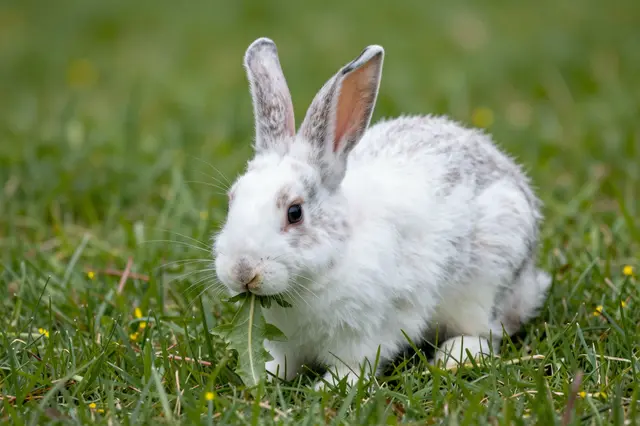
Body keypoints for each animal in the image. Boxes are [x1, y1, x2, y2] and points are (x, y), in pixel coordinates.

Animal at [212, 37, 551, 388]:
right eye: (232, 200)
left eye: (295, 212)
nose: (243, 272)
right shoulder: (284, 342)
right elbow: (281, 362)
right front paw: (264, 377)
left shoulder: (363, 334)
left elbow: (354, 365)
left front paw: (330, 386)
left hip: (486, 282)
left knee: (488, 332)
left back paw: (453, 356)